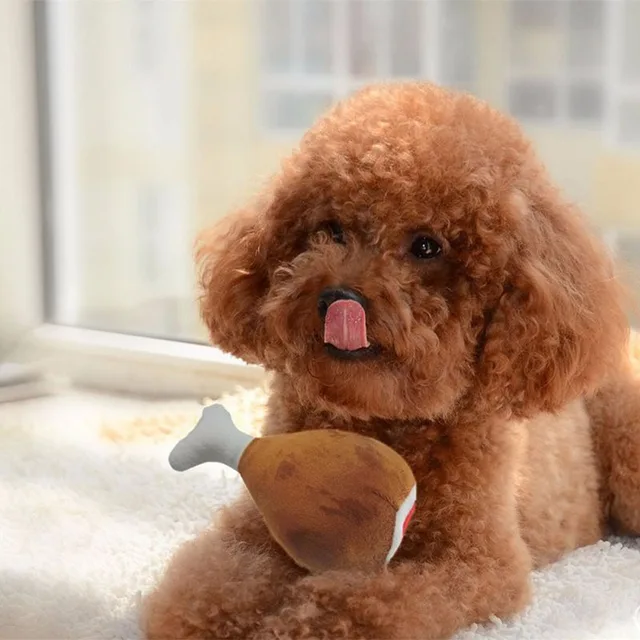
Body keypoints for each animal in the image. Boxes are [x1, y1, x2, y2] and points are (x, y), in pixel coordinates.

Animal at [143, 82, 640, 639]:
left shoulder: (476, 564)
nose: (339, 298)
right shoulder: (250, 526)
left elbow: (365, 605)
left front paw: (293, 620)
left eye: (426, 245)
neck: (382, 416)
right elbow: (212, 583)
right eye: (331, 229)